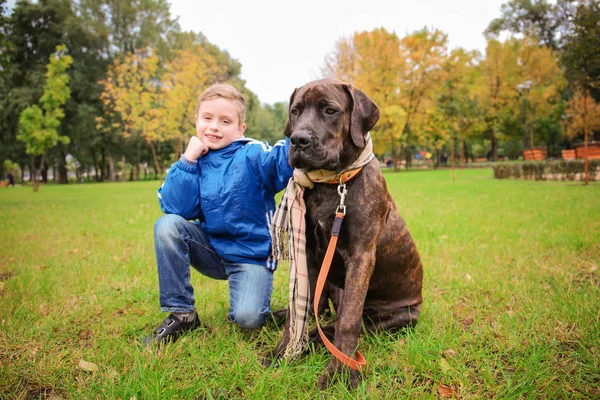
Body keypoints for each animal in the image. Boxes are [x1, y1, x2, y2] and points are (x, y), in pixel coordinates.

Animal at [264, 77, 424, 388]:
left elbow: (348, 320)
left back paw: (318, 338)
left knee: (349, 322)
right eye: (295, 111)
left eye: (330, 110)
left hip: (403, 315)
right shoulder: (308, 254)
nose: (298, 139)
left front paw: (340, 372)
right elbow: (299, 310)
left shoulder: (361, 256)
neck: (331, 185)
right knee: (323, 310)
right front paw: (284, 350)